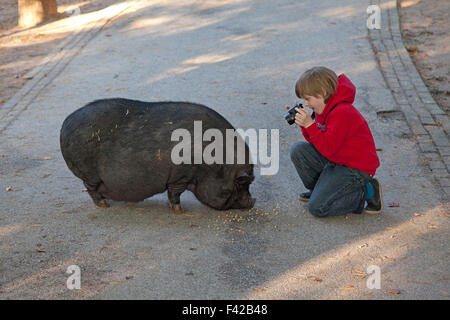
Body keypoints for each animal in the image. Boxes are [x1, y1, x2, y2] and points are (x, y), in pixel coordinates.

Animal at [59, 97, 255, 212]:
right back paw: (104, 205)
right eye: (240, 183)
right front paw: (180, 211)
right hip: (88, 172)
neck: (213, 163)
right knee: (90, 187)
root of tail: (65, 123)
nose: (253, 201)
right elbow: (175, 192)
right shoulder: (180, 176)